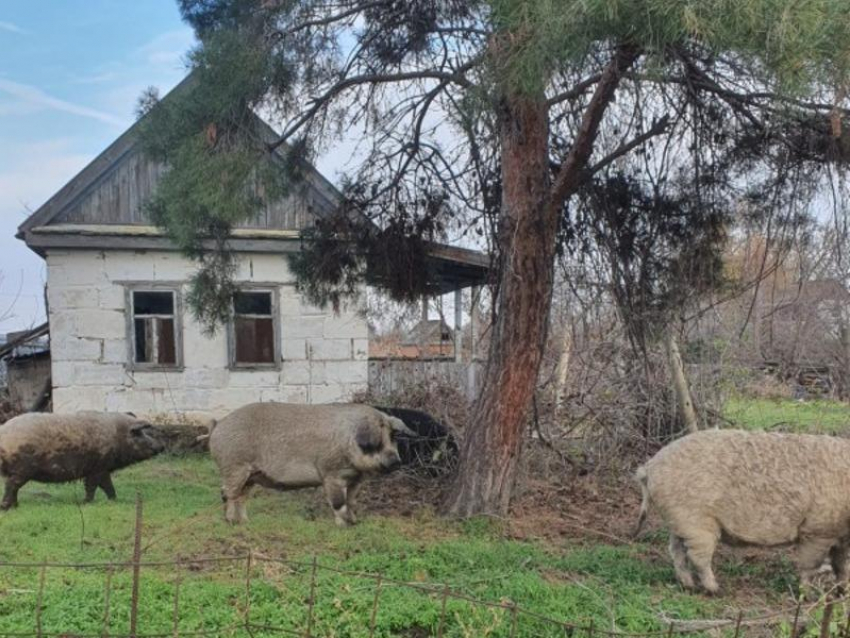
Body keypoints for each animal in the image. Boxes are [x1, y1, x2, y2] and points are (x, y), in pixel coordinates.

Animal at [0, 412, 165, 512]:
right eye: (139, 433)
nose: (162, 446)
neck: (117, 435)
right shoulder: (98, 467)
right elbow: (96, 486)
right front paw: (88, 502)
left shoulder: (97, 469)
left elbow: (101, 485)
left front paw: (112, 500)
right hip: (22, 469)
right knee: (11, 485)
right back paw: (6, 507)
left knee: (13, 487)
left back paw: (16, 506)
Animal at [207, 404, 416, 524]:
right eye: (375, 441)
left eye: (392, 436)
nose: (396, 462)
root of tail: (218, 425)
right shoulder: (331, 473)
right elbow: (338, 503)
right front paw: (342, 526)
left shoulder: (356, 480)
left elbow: (351, 501)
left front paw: (355, 522)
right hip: (234, 467)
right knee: (227, 493)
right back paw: (230, 521)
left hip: (251, 476)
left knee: (241, 497)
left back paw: (245, 522)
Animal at [632, 430, 848, 596]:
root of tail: (649, 467)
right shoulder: (818, 531)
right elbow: (811, 566)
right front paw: (809, 597)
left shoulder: (841, 536)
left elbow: (841, 565)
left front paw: (842, 593)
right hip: (695, 520)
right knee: (698, 557)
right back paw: (716, 590)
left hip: (679, 521)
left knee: (676, 551)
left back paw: (689, 586)